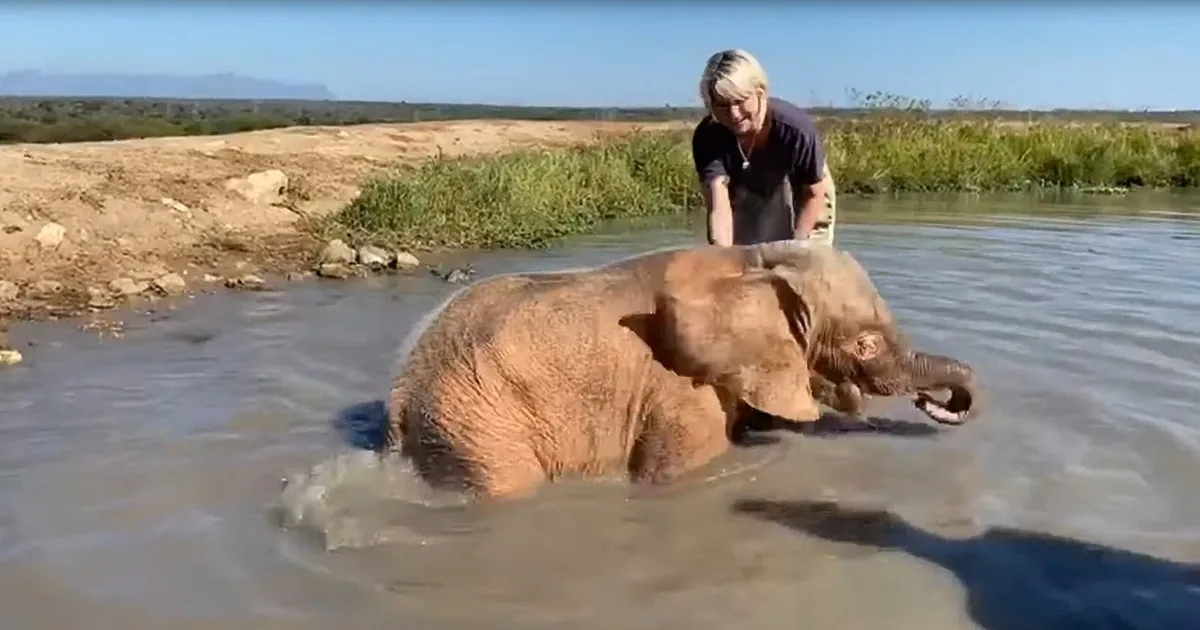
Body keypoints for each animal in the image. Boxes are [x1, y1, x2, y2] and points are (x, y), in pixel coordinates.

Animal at [385, 240, 979, 500]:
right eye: (864, 344)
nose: (937, 401)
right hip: (477, 425)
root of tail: (399, 395)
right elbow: (670, 474)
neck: (752, 261)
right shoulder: (680, 390)